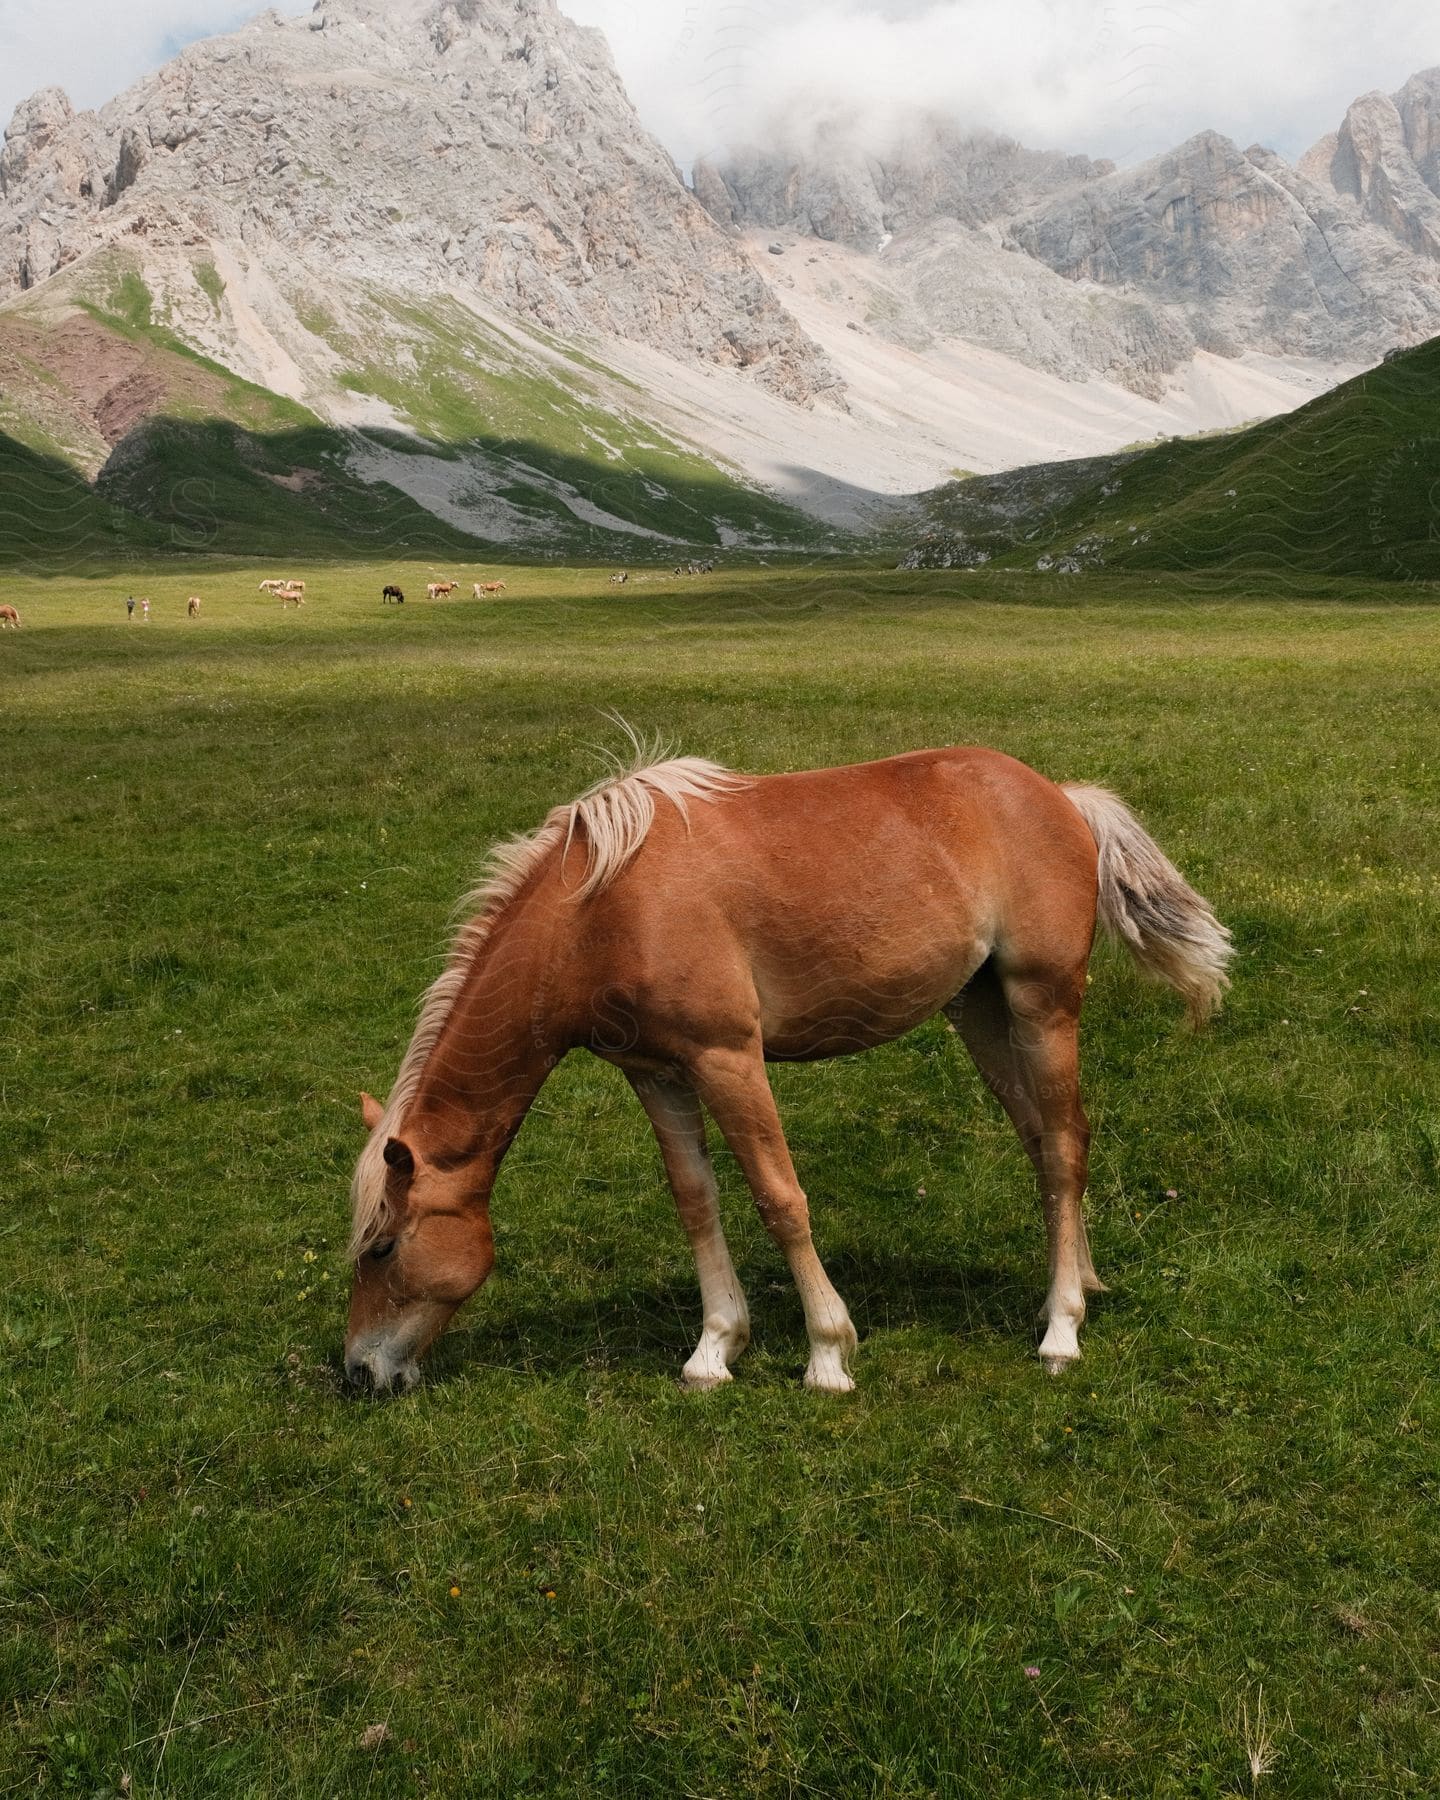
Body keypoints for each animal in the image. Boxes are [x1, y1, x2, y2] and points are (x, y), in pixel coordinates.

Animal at [343, 738, 1231, 1396]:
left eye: (381, 1250)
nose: (357, 1371)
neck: (599, 909)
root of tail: (1059, 795)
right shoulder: (657, 1073)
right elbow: (695, 1199)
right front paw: (714, 1348)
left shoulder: (728, 1059)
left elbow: (780, 1198)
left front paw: (828, 1352)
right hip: (979, 1009)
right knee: (1048, 1141)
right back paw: (1076, 1285)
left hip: (1042, 1004)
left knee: (1065, 1144)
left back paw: (1060, 1330)